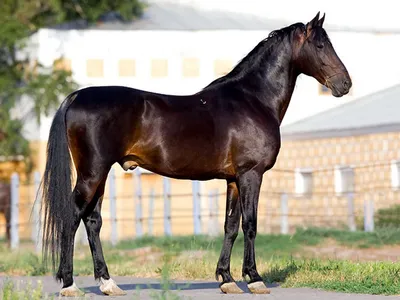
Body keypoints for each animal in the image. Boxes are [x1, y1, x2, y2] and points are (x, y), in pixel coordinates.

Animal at [40, 12, 352, 296]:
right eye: (321, 45)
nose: (345, 84)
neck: (253, 100)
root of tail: (76, 97)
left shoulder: (233, 179)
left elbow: (230, 225)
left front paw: (226, 279)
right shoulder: (251, 174)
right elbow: (250, 224)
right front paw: (254, 278)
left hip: (100, 174)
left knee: (93, 221)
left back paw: (108, 283)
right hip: (92, 173)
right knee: (72, 217)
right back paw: (69, 284)